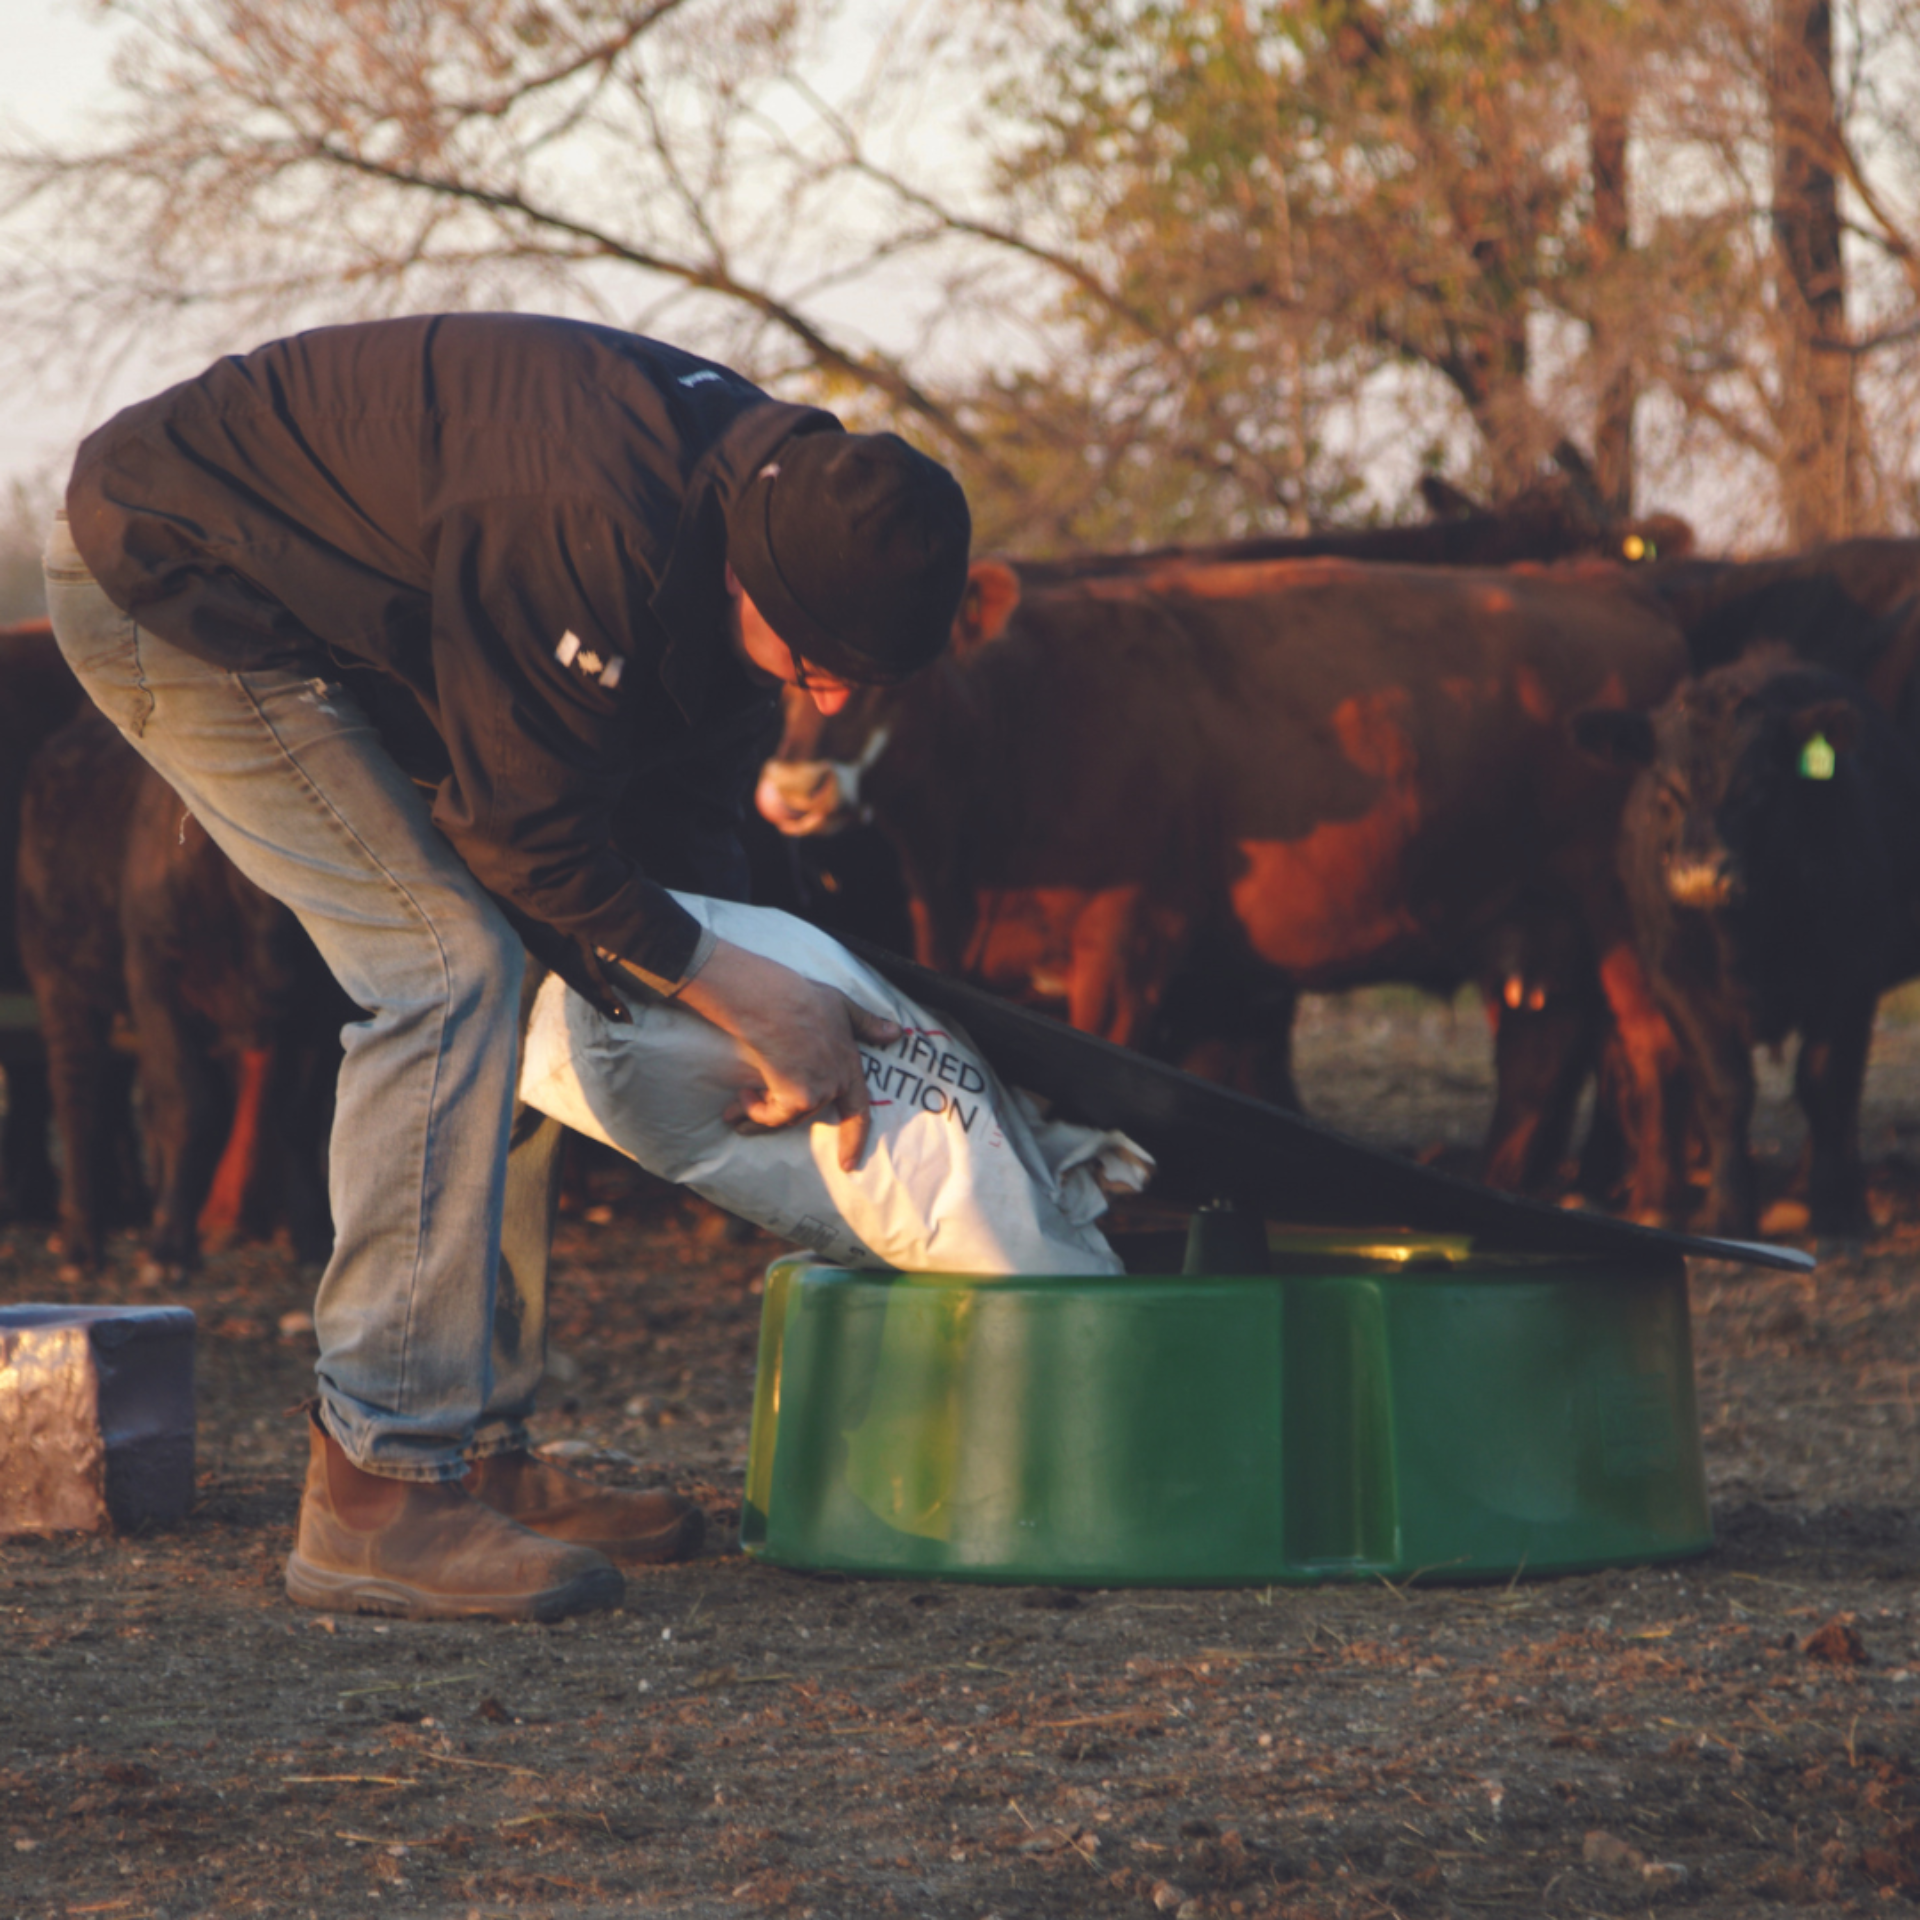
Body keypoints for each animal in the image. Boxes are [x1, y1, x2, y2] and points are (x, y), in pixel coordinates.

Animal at [18, 709, 343, 1280]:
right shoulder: (157, 983)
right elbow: (189, 1107)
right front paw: (169, 1247)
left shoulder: (320, 1016)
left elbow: (298, 1115)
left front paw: (313, 1239)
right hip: (63, 986)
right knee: (77, 1098)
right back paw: (81, 1243)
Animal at [757, 556, 1693, 1218]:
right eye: (784, 671)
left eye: (901, 669)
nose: (795, 790)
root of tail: (1607, 585)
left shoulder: (1127, 942)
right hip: (1537, 921)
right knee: (1542, 1054)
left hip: (1617, 908)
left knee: (1647, 1042)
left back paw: (1654, 1201)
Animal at [1573, 648, 1920, 1236]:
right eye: (1665, 787)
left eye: (1757, 786)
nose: (1700, 874)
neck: (1746, 932)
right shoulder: (1676, 978)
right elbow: (1724, 1089)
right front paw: (1728, 1210)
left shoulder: (1852, 975)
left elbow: (1825, 1082)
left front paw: (1830, 1206)